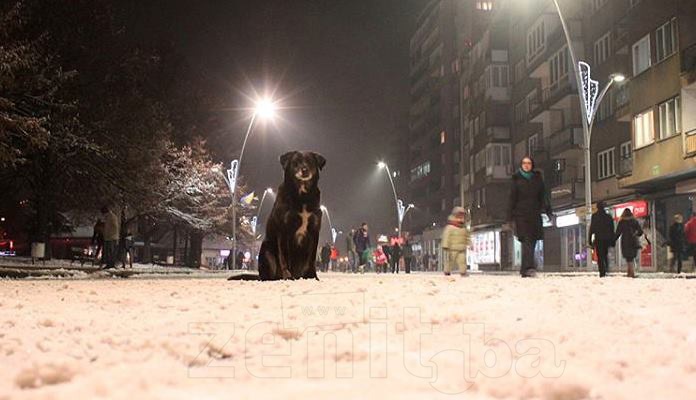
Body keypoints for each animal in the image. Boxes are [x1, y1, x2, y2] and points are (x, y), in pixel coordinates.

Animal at [230, 151, 324, 282]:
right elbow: (284, 257)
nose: (304, 170)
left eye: (310, 162)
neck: (302, 196)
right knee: (269, 275)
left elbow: (312, 259)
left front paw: (313, 277)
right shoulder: (284, 230)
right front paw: (288, 276)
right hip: (267, 250)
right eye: (296, 162)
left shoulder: (314, 232)